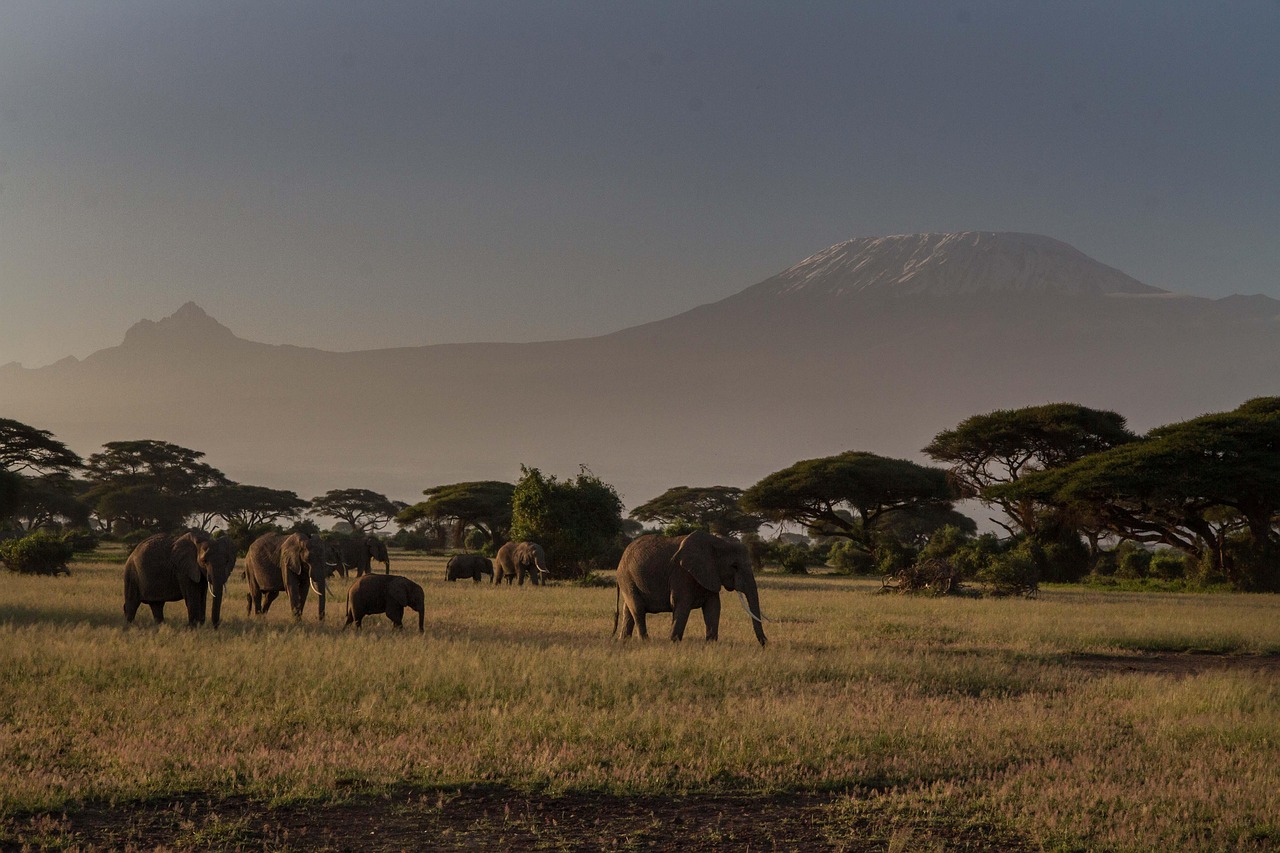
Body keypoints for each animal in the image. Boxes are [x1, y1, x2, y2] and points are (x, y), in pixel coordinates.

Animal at [614, 527, 762, 640]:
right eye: (734, 566)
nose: (764, 644)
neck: (715, 541)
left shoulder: (709, 573)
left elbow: (713, 607)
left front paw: (711, 644)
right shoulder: (681, 573)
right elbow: (682, 604)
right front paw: (673, 643)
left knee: (628, 611)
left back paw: (624, 641)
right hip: (627, 578)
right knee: (638, 609)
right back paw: (645, 642)